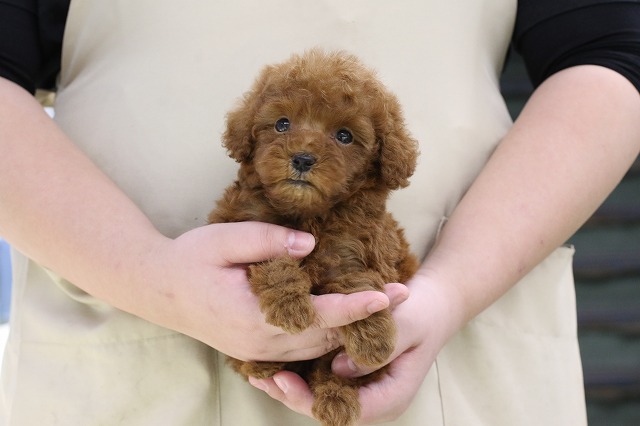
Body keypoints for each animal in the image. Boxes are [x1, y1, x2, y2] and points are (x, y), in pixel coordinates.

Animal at [209, 50, 420, 426]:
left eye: (344, 136)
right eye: (282, 124)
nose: (303, 158)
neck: (308, 213)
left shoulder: (352, 250)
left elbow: (357, 283)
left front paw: (374, 337)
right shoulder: (248, 225)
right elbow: (275, 263)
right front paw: (290, 307)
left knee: (331, 369)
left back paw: (337, 398)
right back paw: (263, 364)